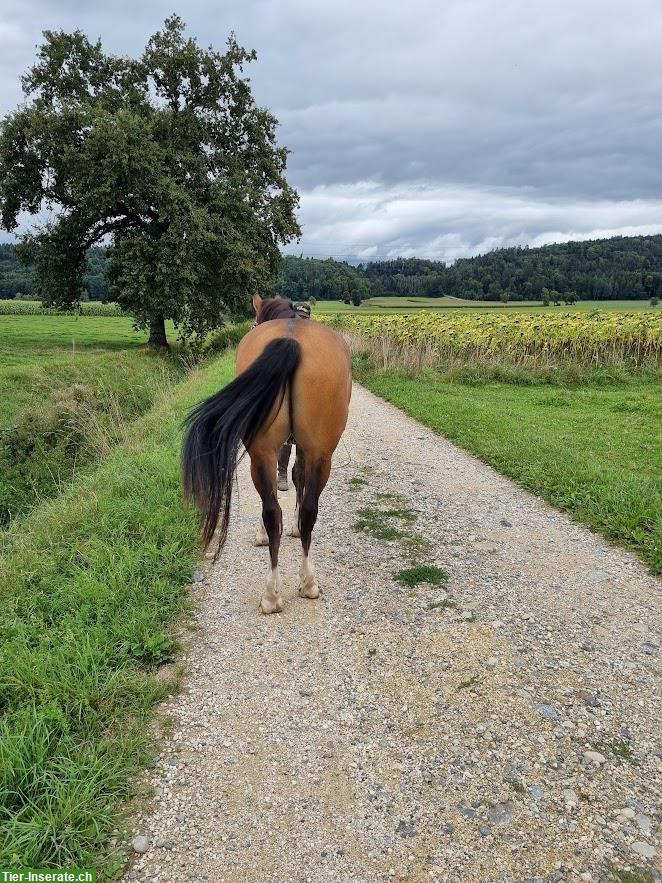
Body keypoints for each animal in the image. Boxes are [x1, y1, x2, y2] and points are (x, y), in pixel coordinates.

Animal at [182, 296, 352, 616]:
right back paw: (302, 584)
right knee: (302, 509)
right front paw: (293, 529)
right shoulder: (298, 448)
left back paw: (275, 593)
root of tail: (291, 340)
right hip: (318, 453)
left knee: (274, 511)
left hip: (266, 452)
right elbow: (295, 478)